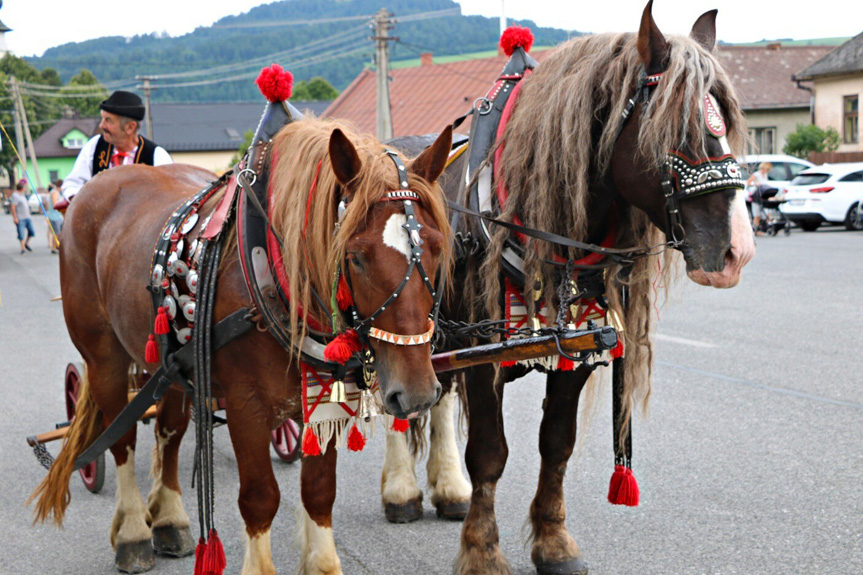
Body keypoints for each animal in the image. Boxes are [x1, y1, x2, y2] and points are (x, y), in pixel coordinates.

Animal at [30, 119, 456, 572]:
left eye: (435, 247)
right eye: (356, 256)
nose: (417, 392)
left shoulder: (318, 399)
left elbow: (319, 489)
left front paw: (322, 562)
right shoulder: (245, 404)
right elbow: (260, 497)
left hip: (172, 364)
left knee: (168, 432)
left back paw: (168, 519)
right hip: (104, 358)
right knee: (122, 440)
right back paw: (132, 532)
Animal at [384, 4, 756, 575]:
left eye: (725, 123)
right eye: (676, 126)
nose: (738, 249)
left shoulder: (575, 345)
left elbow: (557, 444)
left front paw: (554, 543)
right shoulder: (485, 349)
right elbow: (489, 453)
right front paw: (482, 551)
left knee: (437, 399)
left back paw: (448, 490)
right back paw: (401, 493)